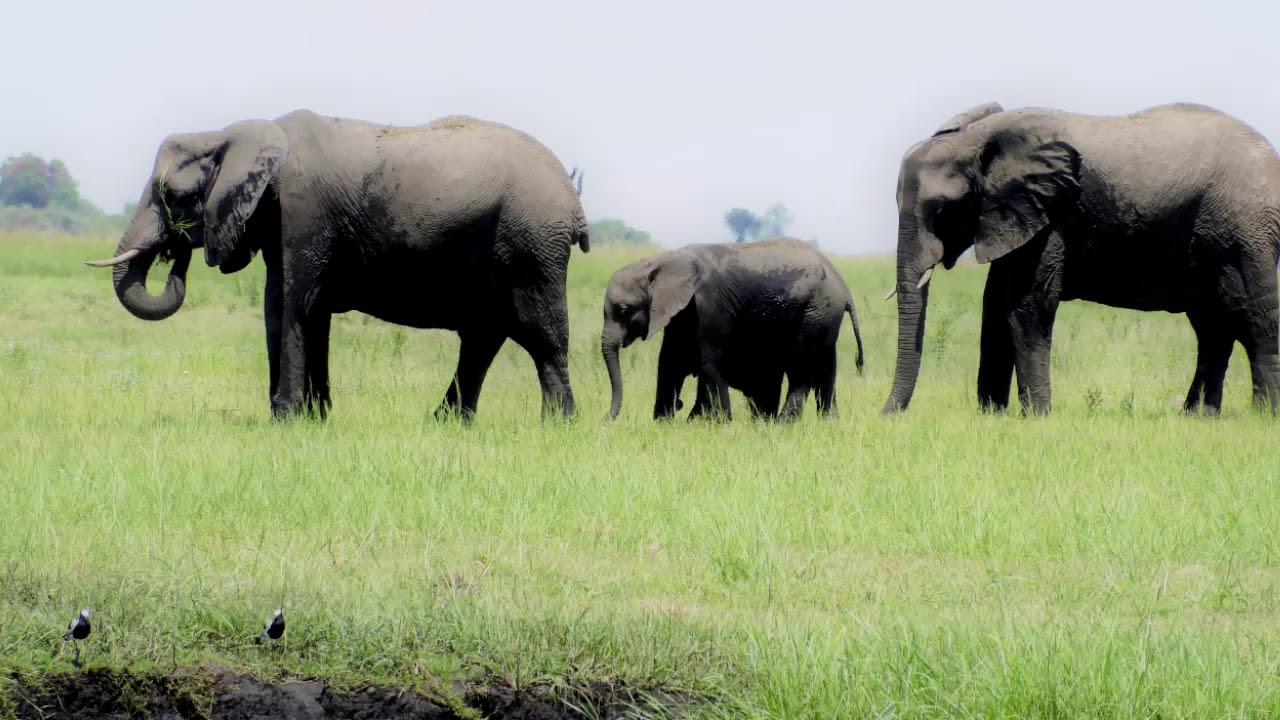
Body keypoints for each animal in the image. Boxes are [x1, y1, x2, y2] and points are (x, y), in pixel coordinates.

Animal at [87, 109, 586, 417]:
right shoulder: (282, 221)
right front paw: (314, 418)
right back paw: (444, 423)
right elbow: (292, 309)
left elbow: (295, 304)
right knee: (484, 336)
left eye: (173, 196)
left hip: (533, 244)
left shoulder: (304, 213)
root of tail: (572, 193)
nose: (176, 253)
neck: (230, 133)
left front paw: (286, 420)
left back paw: (557, 426)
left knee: (541, 335)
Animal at [596, 235, 860, 420]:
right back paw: (828, 423)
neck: (663, 260)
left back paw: (783, 425)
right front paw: (665, 423)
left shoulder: (710, 305)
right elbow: (670, 360)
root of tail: (844, 287)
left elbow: (709, 362)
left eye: (623, 309)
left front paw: (721, 425)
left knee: (801, 370)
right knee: (827, 369)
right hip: (824, 316)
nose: (605, 420)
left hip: (816, 311)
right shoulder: (683, 312)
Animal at [880, 101, 1280, 415]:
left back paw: (1264, 414)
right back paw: (1198, 416)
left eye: (942, 210)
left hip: (1245, 230)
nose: (885, 415)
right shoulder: (1014, 218)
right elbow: (994, 304)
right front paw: (992, 414)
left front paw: (1036, 416)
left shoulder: (1049, 214)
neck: (979, 140)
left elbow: (1027, 304)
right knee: (1214, 327)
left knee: (1252, 316)